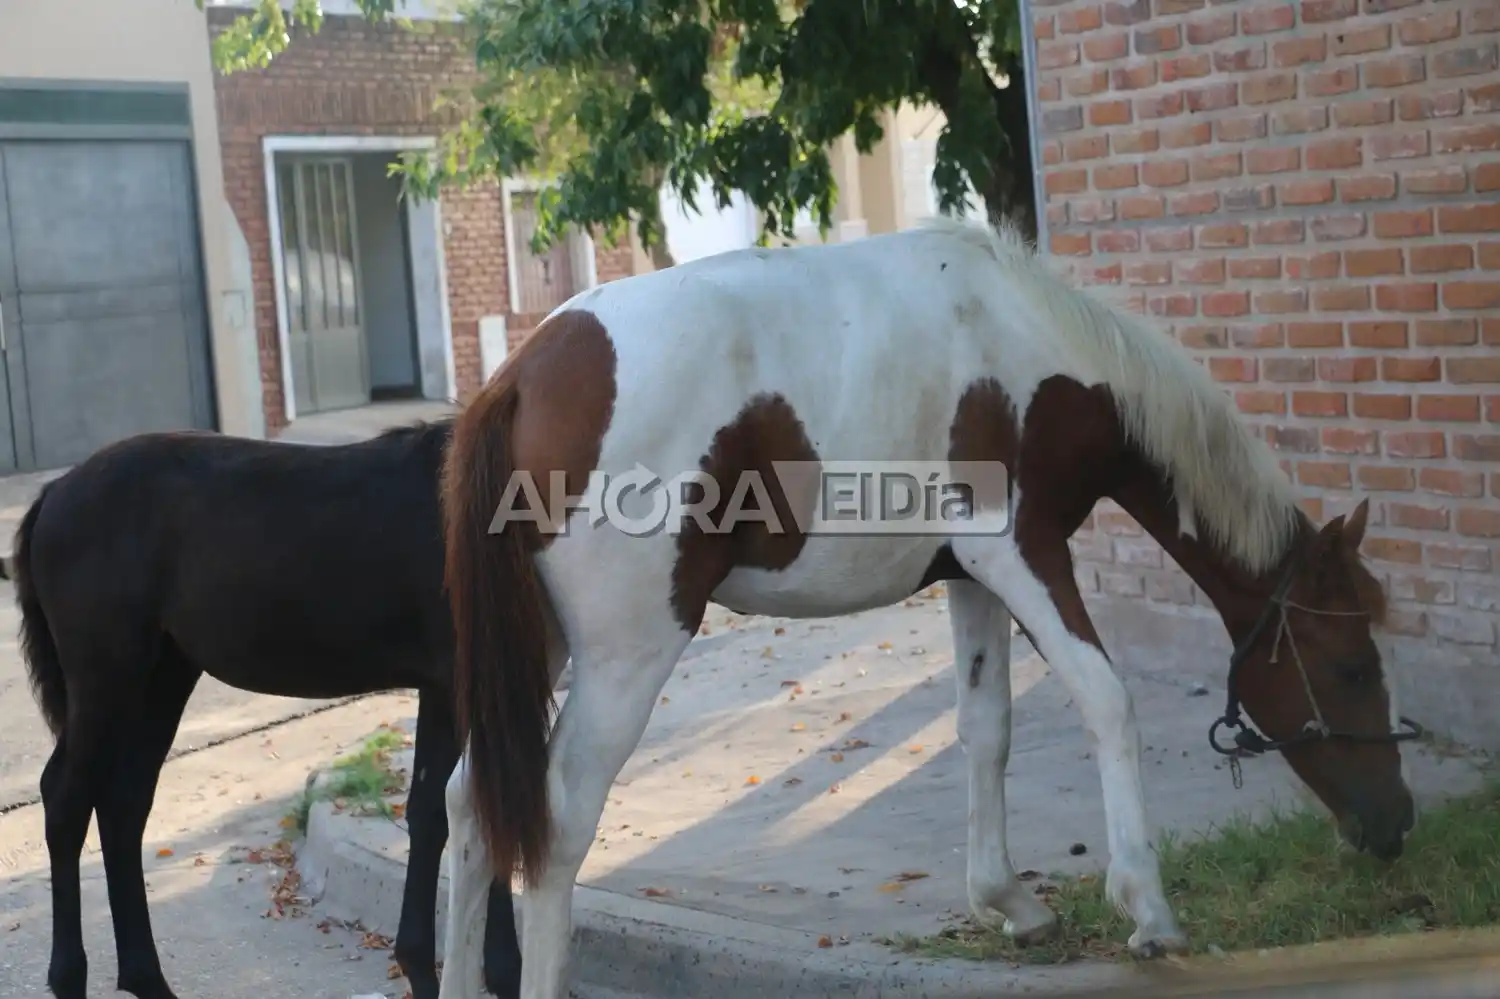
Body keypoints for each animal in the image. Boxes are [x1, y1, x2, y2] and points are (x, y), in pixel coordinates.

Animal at [8, 421, 522, 999]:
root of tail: (55, 492)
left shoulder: (443, 690)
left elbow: (436, 811)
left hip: (161, 678)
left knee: (123, 804)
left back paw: (147, 978)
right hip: (105, 679)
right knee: (67, 800)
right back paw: (71, 976)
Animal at [435, 216, 1421, 999]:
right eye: (1350, 667)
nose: (1396, 824)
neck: (1028, 345)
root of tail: (522, 375)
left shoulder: (969, 573)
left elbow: (986, 726)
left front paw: (1009, 902)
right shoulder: (1020, 550)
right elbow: (1107, 698)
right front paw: (1147, 906)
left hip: (543, 651)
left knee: (469, 804)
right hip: (626, 656)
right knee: (560, 816)